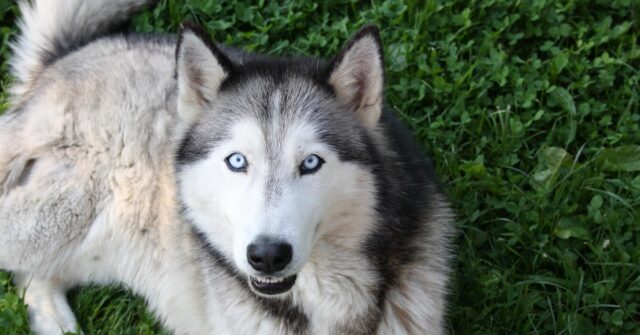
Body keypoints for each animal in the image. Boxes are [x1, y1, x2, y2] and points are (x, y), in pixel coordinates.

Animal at [2, 0, 458, 334]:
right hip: (57, 215)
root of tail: (68, 56)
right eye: (237, 161)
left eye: (311, 162)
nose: (267, 255)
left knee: (36, 276)